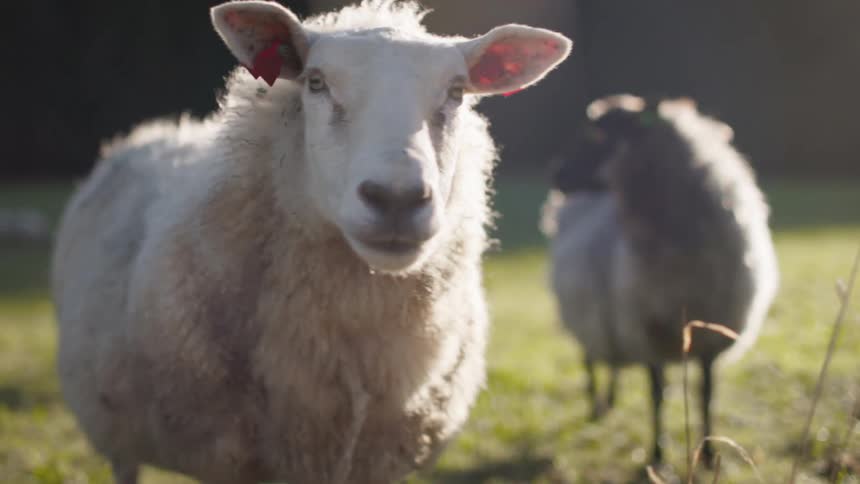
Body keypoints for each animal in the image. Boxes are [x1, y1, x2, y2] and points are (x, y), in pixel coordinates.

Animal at [542, 94, 779, 465]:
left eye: (597, 135)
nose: (554, 174)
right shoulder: (647, 333)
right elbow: (657, 396)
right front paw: (657, 454)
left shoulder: (709, 340)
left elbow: (705, 395)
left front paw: (707, 454)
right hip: (586, 316)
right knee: (591, 362)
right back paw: (596, 408)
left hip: (612, 320)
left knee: (612, 363)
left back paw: (610, 400)